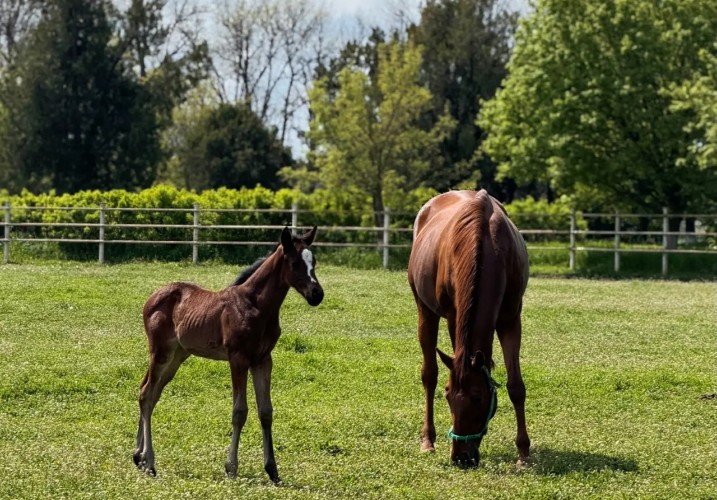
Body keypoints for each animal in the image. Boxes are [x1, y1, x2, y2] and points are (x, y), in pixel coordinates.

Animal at [133, 226, 323, 483]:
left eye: (314, 262)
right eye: (294, 263)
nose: (317, 294)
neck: (256, 306)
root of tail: (152, 297)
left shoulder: (263, 360)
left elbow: (266, 411)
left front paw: (272, 470)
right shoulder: (238, 359)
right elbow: (239, 411)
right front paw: (231, 467)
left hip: (178, 356)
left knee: (151, 393)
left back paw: (139, 457)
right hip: (160, 351)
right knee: (146, 393)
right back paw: (150, 462)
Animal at [407, 190, 530, 468]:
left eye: (478, 397)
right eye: (448, 395)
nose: (461, 457)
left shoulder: (511, 319)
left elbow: (516, 386)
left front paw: (523, 452)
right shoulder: (454, 317)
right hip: (425, 310)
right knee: (429, 373)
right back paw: (428, 440)